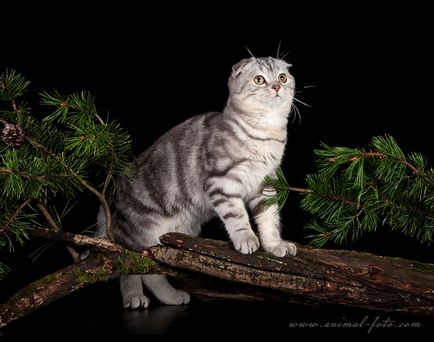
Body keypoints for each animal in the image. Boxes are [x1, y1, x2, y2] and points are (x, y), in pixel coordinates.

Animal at [96, 56, 296, 310]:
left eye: (282, 77)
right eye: (259, 80)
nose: (277, 86)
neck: (265, 133)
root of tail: (115, 187)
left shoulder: (266, 185)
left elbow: (269, 219)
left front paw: (275, 245)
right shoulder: (222, 181)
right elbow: (237, 216)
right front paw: (246, 238)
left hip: (166, 241)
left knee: (153, 273)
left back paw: (172, 297)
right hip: (133, 236)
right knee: (127, 266)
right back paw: (133, 296)